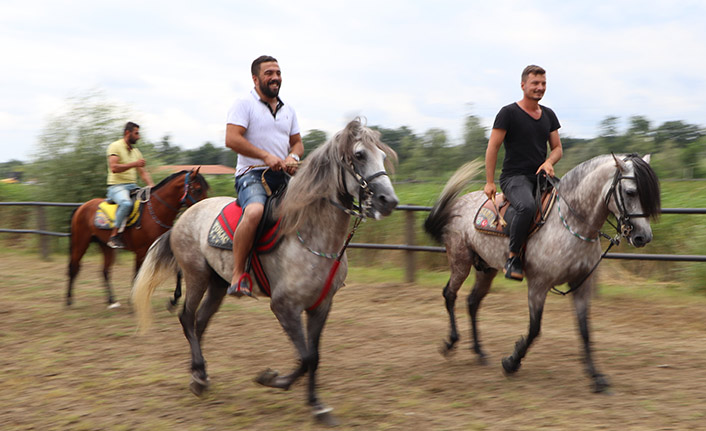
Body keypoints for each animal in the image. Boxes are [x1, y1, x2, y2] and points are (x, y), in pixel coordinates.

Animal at [66, 169, 208, 308]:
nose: (204, 209)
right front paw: (133, 301)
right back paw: (69, 300)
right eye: (197, 189)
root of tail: (81, 207)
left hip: (105, 246)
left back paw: (112, 301)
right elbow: (136, 275)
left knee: (105, 271)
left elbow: (178, 271)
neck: (156, 211)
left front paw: (174, 299)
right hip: (81, 243)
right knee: (73, 267)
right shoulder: (141, 251)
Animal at [131, 120, 396, 426]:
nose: (388, 200)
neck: (311, 236)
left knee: (200, 322)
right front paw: (271, 379)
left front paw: (316, 405)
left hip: (218, 284)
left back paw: (201, 374)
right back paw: (197, 376)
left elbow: (314, 356)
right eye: (359, 155)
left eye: (383, 155)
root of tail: (184, 217)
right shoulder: (284, 306)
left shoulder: (321, 306)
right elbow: (305, 357)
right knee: (187, 318)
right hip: (196, 276)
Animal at [424, 154, 660, 392]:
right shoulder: (539, 284)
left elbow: (585, 330)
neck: (571, 222)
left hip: (486, 269)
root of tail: (459, 203)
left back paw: (479, 352)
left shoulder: (582, 285)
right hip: (460, 261)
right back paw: (451, 342)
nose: (643, 236)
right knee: (450, 294)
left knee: (472, 302)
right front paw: (511, 362)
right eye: (630, 192)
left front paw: (596, 377)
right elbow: (535, 328)